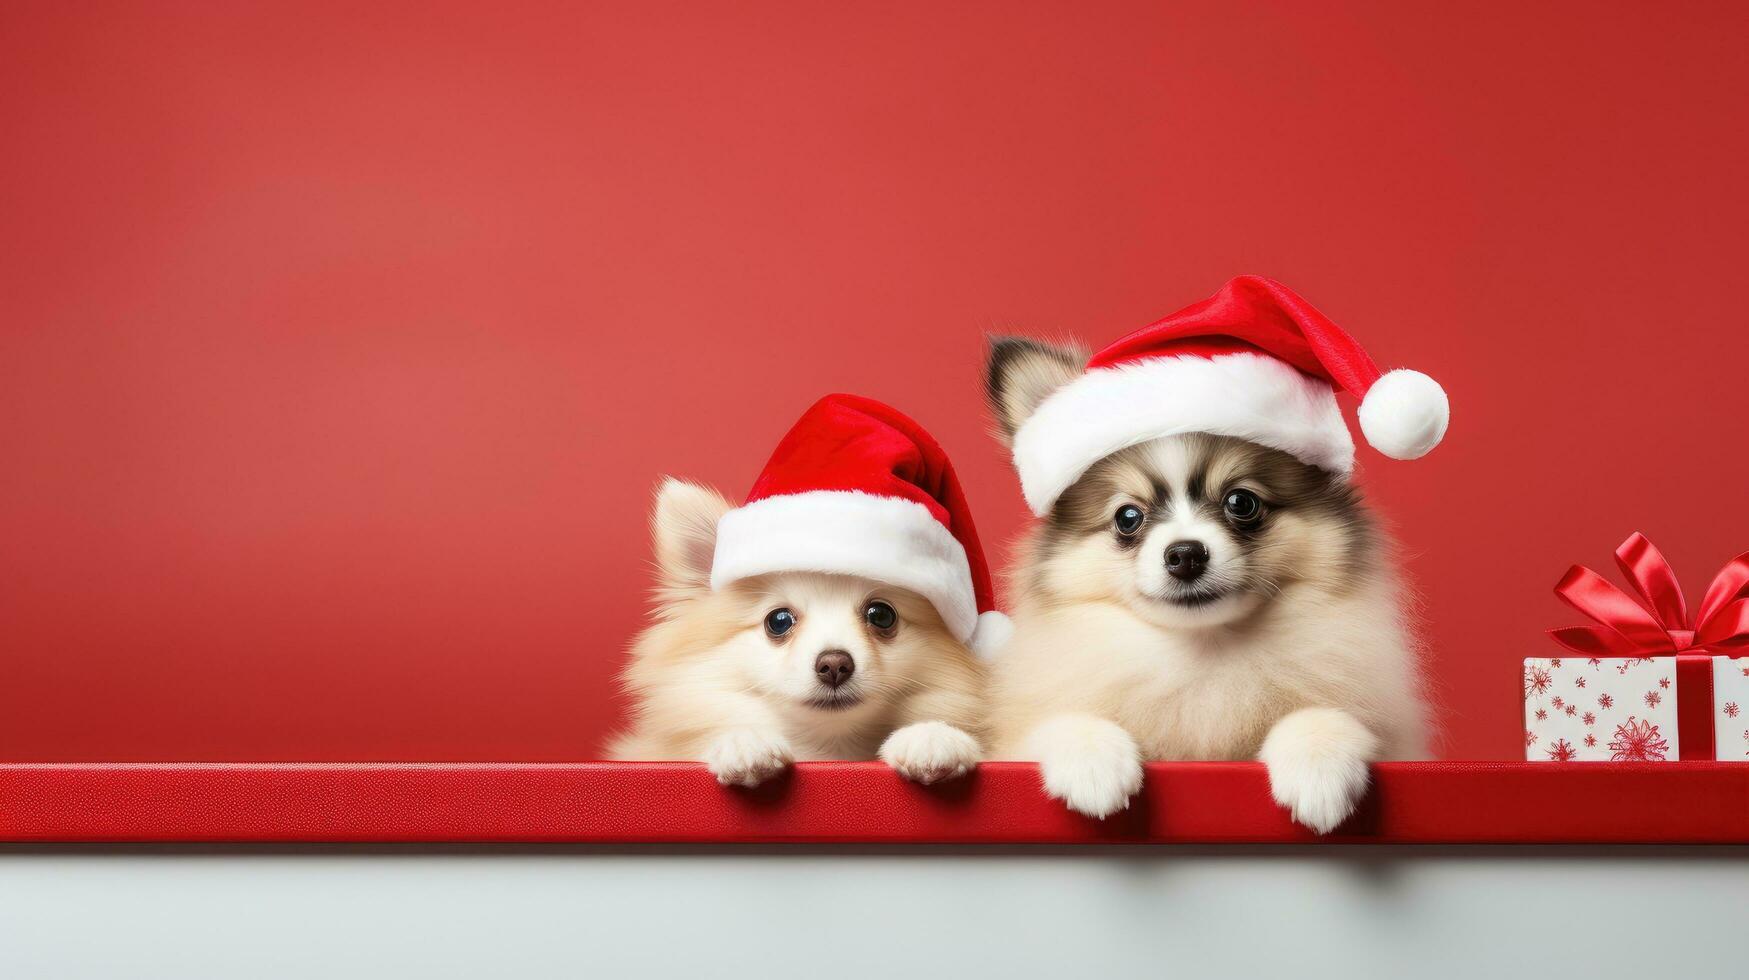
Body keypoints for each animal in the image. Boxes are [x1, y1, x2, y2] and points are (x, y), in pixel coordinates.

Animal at [608, 393, 1014, 784]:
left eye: (881, 615)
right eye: (778, 621)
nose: (834, 663)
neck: (829, 751)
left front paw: (931, 737)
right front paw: (745, 744)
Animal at [986, 278, 1448, 833]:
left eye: (1241, 503)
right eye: (1127, 517)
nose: (1185, 554)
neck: (1203, 658)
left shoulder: (1396, 740)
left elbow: (1326, 714)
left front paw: (1319, 766)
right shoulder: (1017, 738)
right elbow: (1058, 724)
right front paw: (1092, 764)